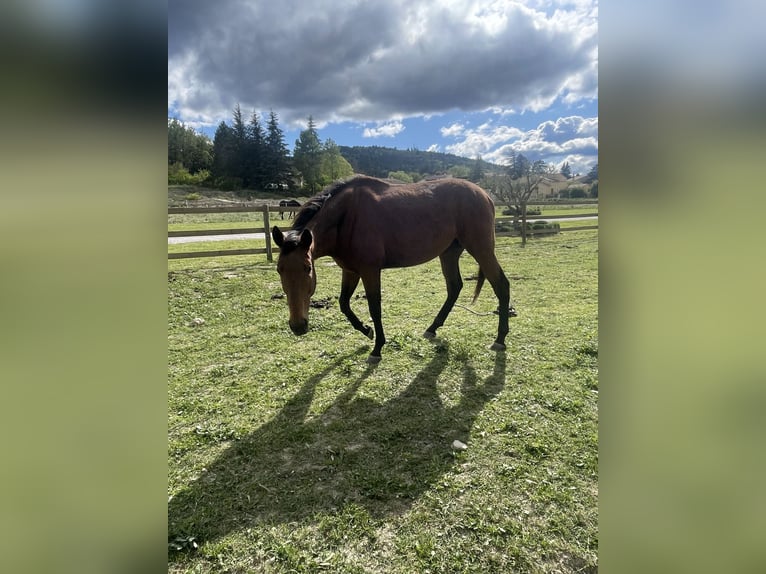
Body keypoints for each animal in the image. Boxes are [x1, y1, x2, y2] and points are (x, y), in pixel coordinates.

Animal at [272, 176, 512, 364]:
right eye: (279, 270)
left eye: (307, 268)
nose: (298, 326)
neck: (347, 216)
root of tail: (484, 195)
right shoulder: (350, 270)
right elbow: (344, 304)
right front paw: (366, 331)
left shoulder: (370, 271)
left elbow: (374, 307)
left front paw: (377, 348)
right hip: (449, 253)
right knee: (455, 287)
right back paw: (432, 328)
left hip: (481, 249)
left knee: (501, 285)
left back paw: (499, 340)